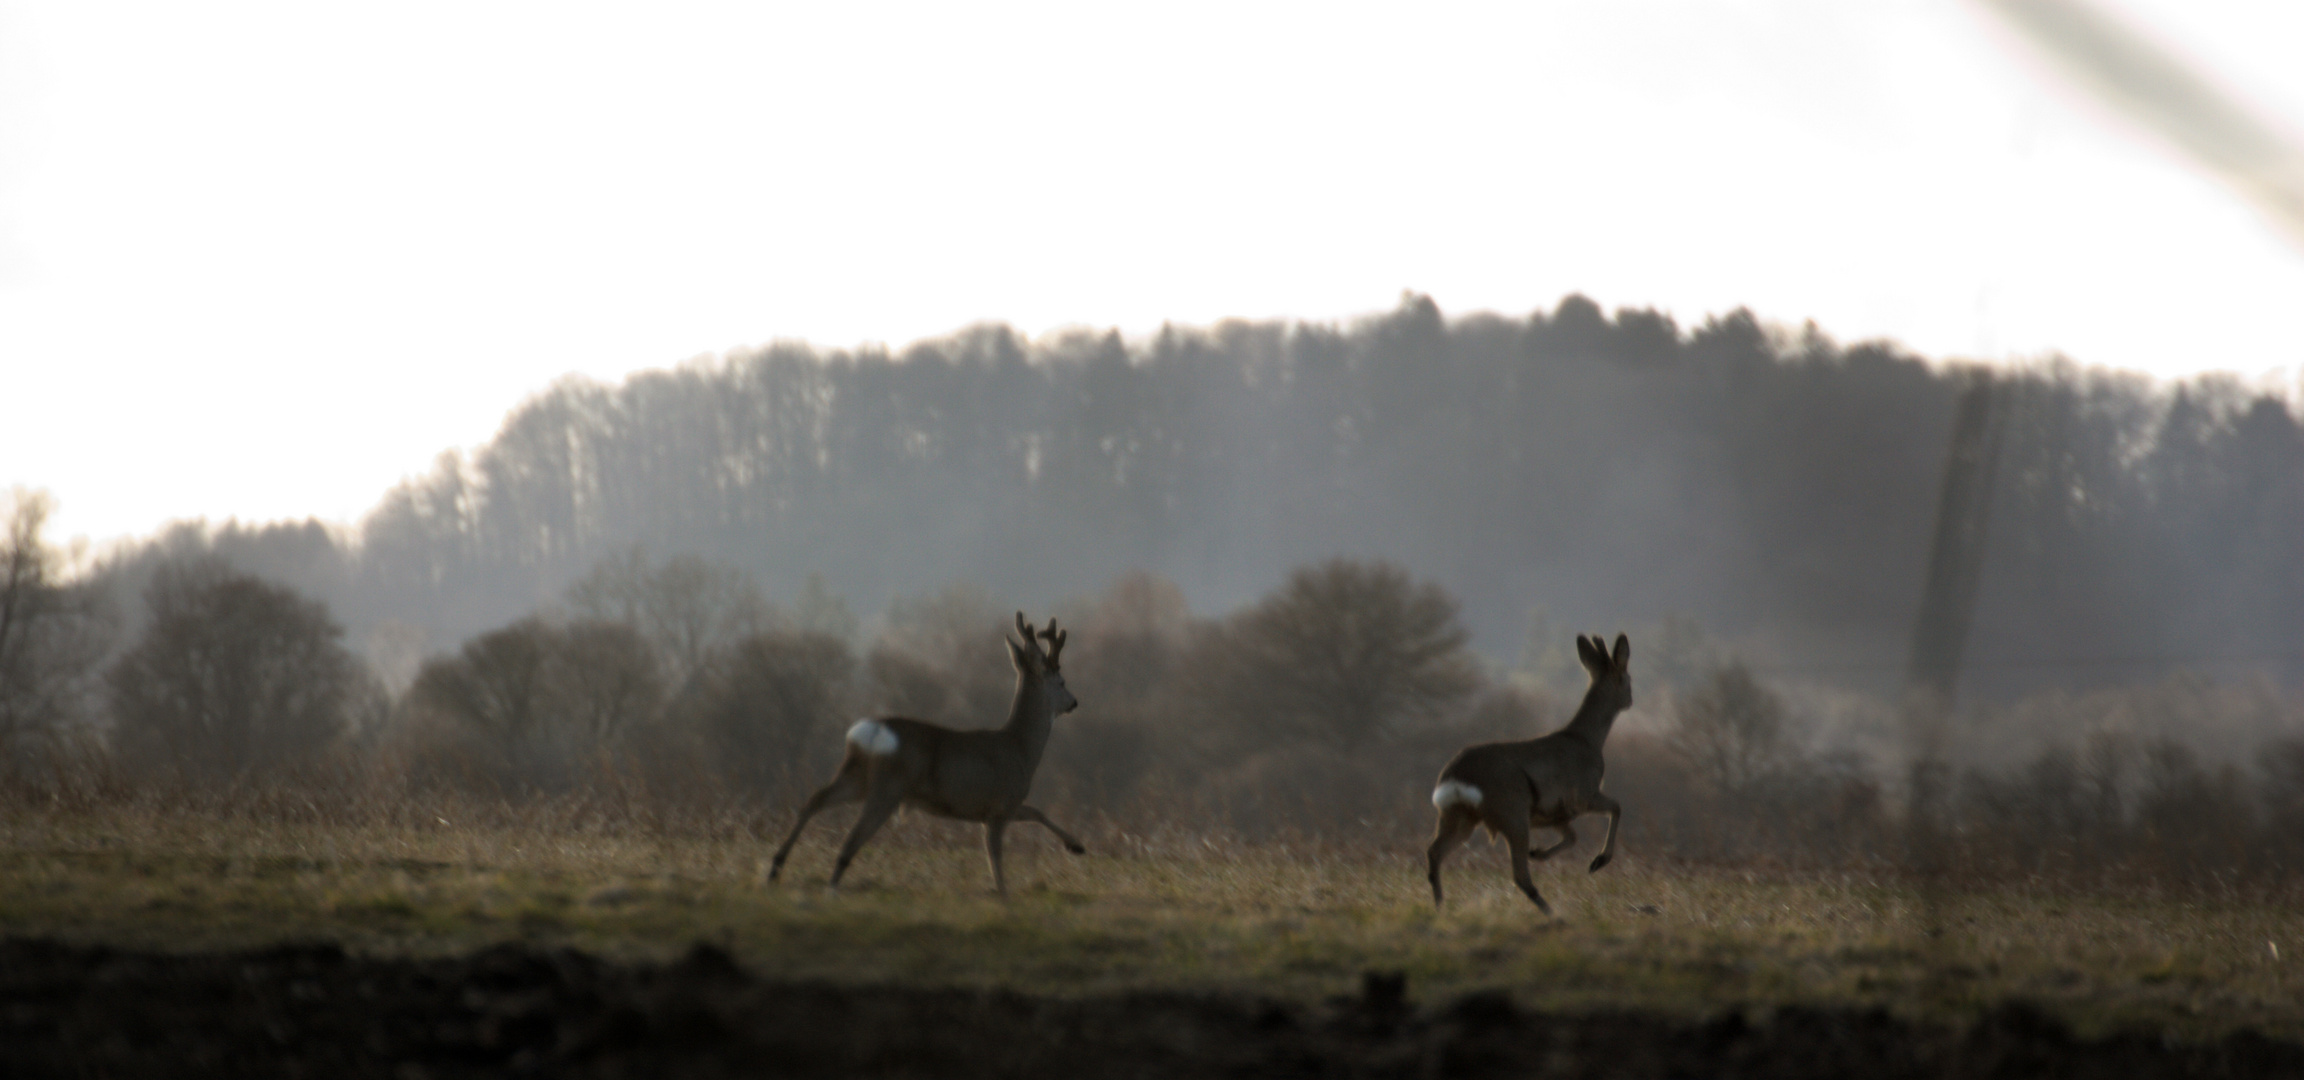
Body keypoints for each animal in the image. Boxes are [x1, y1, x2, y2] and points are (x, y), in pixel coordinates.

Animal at [769, 612, 1082, 898]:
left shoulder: (996, 807)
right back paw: (830, 886)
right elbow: (998, 852)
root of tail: (868, 732)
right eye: (1062, 681)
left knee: (816, 799)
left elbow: (1035, 813)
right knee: (852, 836)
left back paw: (776, 866)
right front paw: (1005, 894)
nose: (1074, 702)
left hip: (857, 776)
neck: (1021, 748)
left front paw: (1076, 846)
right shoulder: (1001, 803)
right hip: (889, 785)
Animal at [1419, 630, 1640, 907]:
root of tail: (1456, 774)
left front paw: (1539, 853)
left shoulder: (1555, 814)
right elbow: (1616, 807)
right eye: (1627, 679)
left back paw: (1440, 905)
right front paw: (1598, 861)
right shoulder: (1583, 794)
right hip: (1512, 811)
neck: (1587, 739)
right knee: (1519, 875)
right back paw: (1551, 910)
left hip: (1459, 814)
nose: (1631, 700)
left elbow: (1572, 837)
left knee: (1434, 851)